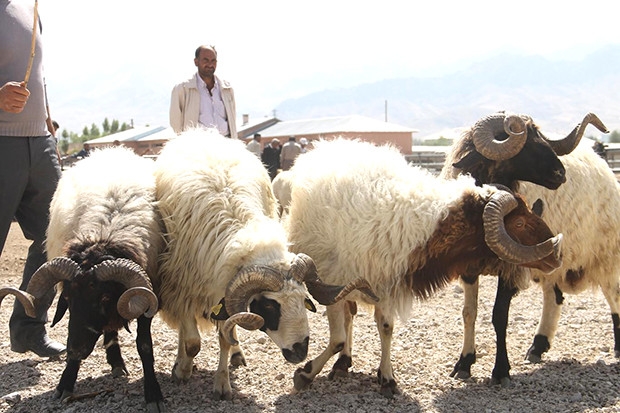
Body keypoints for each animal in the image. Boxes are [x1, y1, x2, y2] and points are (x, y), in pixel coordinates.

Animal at [0, 146, 165, 410]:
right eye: (67, 297)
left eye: (106, 298)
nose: (75, 350)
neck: (105, 233)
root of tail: (110, 150)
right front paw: (65, 383)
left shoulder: (147, 299)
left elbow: (145, 346)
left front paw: (153, 393)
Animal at [151, 129, 372, 400]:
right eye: (268, 306)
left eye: (304, 299)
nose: (300, 351)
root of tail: (200, 133)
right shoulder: (181, 286)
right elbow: (192, 342)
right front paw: (182, 369)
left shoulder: (222, 290)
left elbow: (225, 338)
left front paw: (222, 383)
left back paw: (236, 355)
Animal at [284, 138, 564, 396]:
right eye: (518, 223)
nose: (557, 254)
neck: (426, 229)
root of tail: (335, 143)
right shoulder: (335, 283)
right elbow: (338, 338)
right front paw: (305, 374)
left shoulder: (386, 284)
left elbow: (385, 328)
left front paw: (386, 378)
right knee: (348, 319)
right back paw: (341, 363)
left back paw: (344, 363)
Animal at [440, 111, 612, 384]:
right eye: (525, 144)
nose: (560, 173)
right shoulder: (468, 268)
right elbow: (469, 312)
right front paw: (464, 363)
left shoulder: (511, 267)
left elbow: (499, 315)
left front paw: (501, 371)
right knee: (554, 296)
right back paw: (538, 347)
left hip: (607, 251)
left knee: (614, 295)